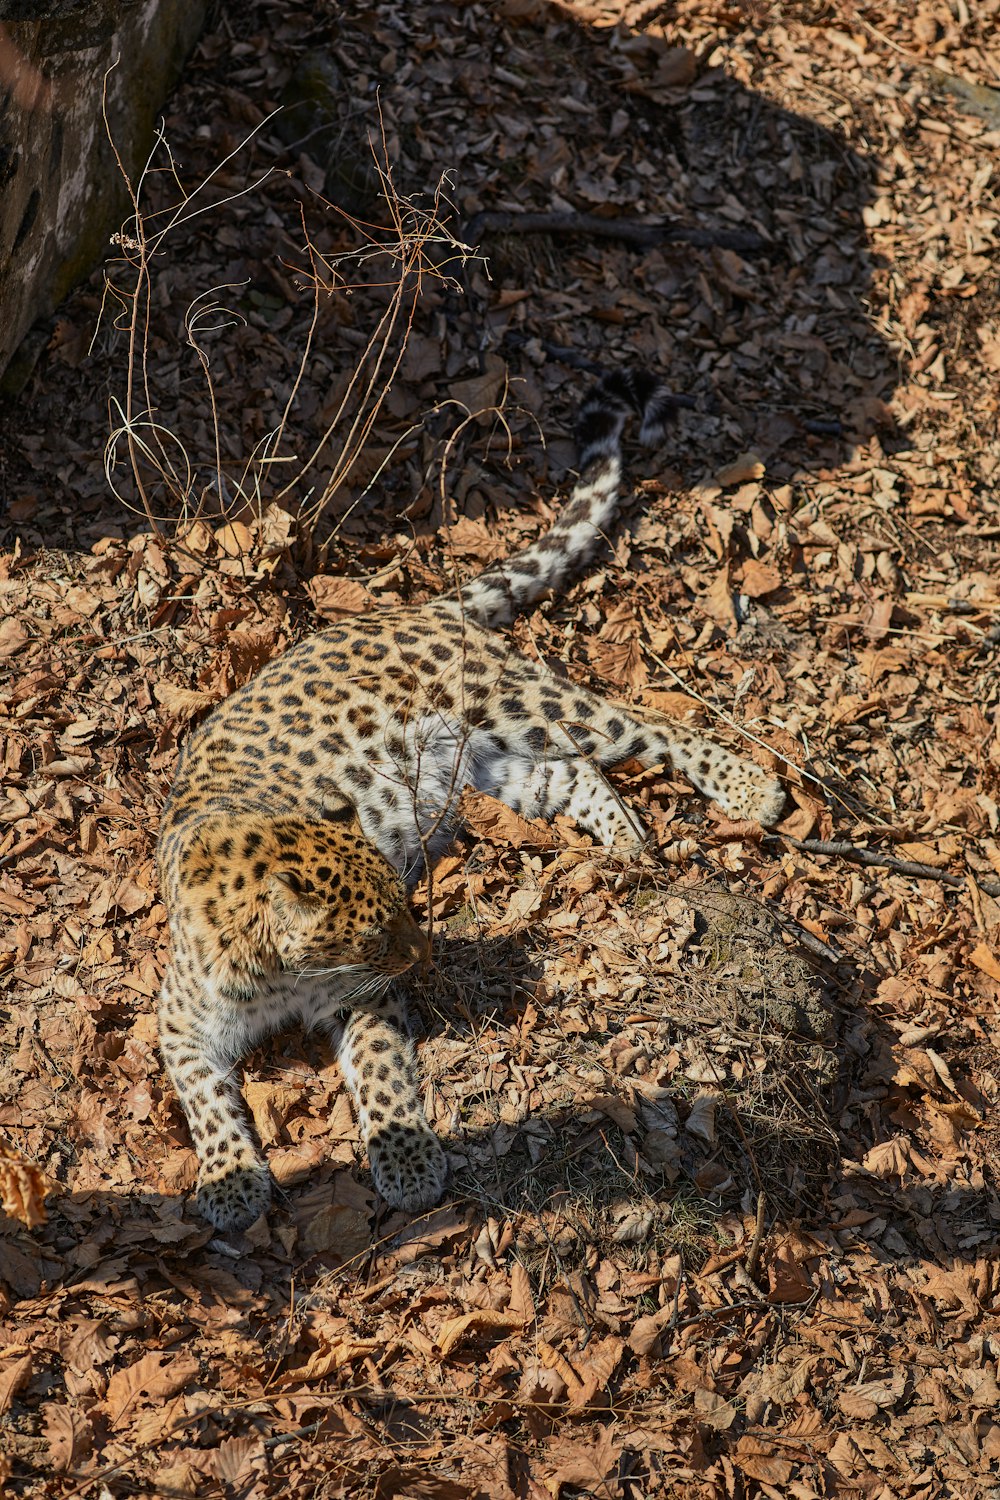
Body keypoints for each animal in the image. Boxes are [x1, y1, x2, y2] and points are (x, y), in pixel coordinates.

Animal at [156, 372, 785, 1230]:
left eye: (402, 914)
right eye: (373, 933)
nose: (423, 959)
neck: (272, 971)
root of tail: (420, 606)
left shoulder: (362, 999)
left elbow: (380, 1073)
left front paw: (407, 1164)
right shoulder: (181, 1022)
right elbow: (205, 1101)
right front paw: (229, 1182)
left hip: (518, 703)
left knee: (650, 725)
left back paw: (752, 788)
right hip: (483, 769)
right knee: (576, 775)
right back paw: (625, 843)